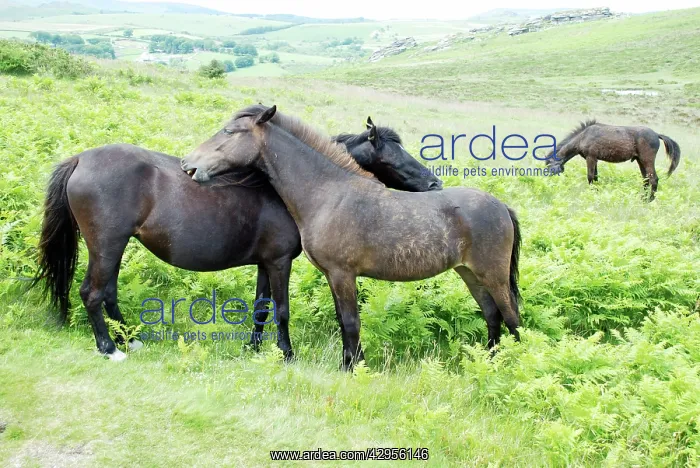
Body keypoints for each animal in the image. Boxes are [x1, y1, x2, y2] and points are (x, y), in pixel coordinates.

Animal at [31, 119, 442, 362]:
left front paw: (255, 348)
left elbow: (260, 307)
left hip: (113, 247)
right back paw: (110, 348)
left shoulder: (264, 261)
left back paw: (132, 340)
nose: (435, 183)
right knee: (93, 293)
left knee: (109, 293)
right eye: (392, 154)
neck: (288, 188)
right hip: (106, 245)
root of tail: (81, 159)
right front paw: (286, 354)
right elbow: (281, 309)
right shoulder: (279, 261)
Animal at [182, 104, 522, 371]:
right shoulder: (332, 276)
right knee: (492, 315)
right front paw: (349, 363)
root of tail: (501, 207)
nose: (188, 164)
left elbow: (350, 322)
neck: (329, 193)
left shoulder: (342, 274)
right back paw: (491, 361)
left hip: (493, 276)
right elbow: (342, 320)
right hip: (470, 274)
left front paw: (352, 368)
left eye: (229, 132)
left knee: (512, 317)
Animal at [545, 120, 681, 201]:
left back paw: (649, 200)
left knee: (653, 179)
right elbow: (595, 177)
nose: (550, 185)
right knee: (646, 180)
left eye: (549, 168)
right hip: (640, 161)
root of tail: (656, 134)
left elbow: (590, 177)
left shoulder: (591, 158)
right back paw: (642, 198)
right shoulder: (595, 160)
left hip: (647, 160)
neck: (583, 137)